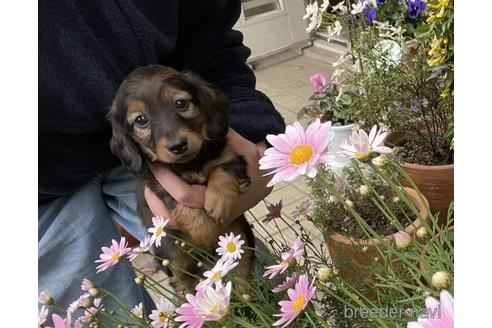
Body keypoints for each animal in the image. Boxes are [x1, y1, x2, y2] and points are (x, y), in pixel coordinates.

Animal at [107, 64, 254, 298]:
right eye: (141, 120)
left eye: (180, 103)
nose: (177, 146)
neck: (190, 163)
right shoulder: (157, 185)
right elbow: (177, 202)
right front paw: (204, 228)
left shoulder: (231, 156)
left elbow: (222, 170)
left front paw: (219, 203)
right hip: (172, 254)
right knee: (182, 282)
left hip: (240, 236)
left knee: (243, 271)